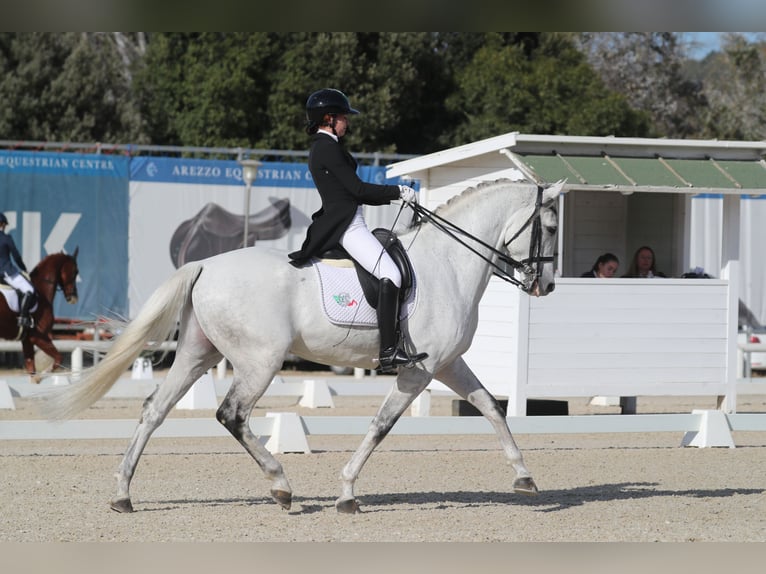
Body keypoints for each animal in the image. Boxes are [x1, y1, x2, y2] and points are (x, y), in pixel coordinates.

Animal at [0, 249, 79, 381]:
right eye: (75, 271)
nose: (74, 298)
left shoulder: (27, 340)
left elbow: (31, 368)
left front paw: (36, 379)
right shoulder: (38, 336)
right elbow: (58, 358)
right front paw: (43, 374)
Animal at [40, 179, 562, 514]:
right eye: (554, 227)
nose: (547, 286)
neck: (449, 263)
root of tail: (206, 264)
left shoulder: (448, 364)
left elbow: (491, 407)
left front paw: (525, 478)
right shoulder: (419, 369)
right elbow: (381, 426)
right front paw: (347, 493)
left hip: (196, 353)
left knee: (154, 410)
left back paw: (123, 495)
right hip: (260, 360)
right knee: (231, 414)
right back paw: (281, 488)